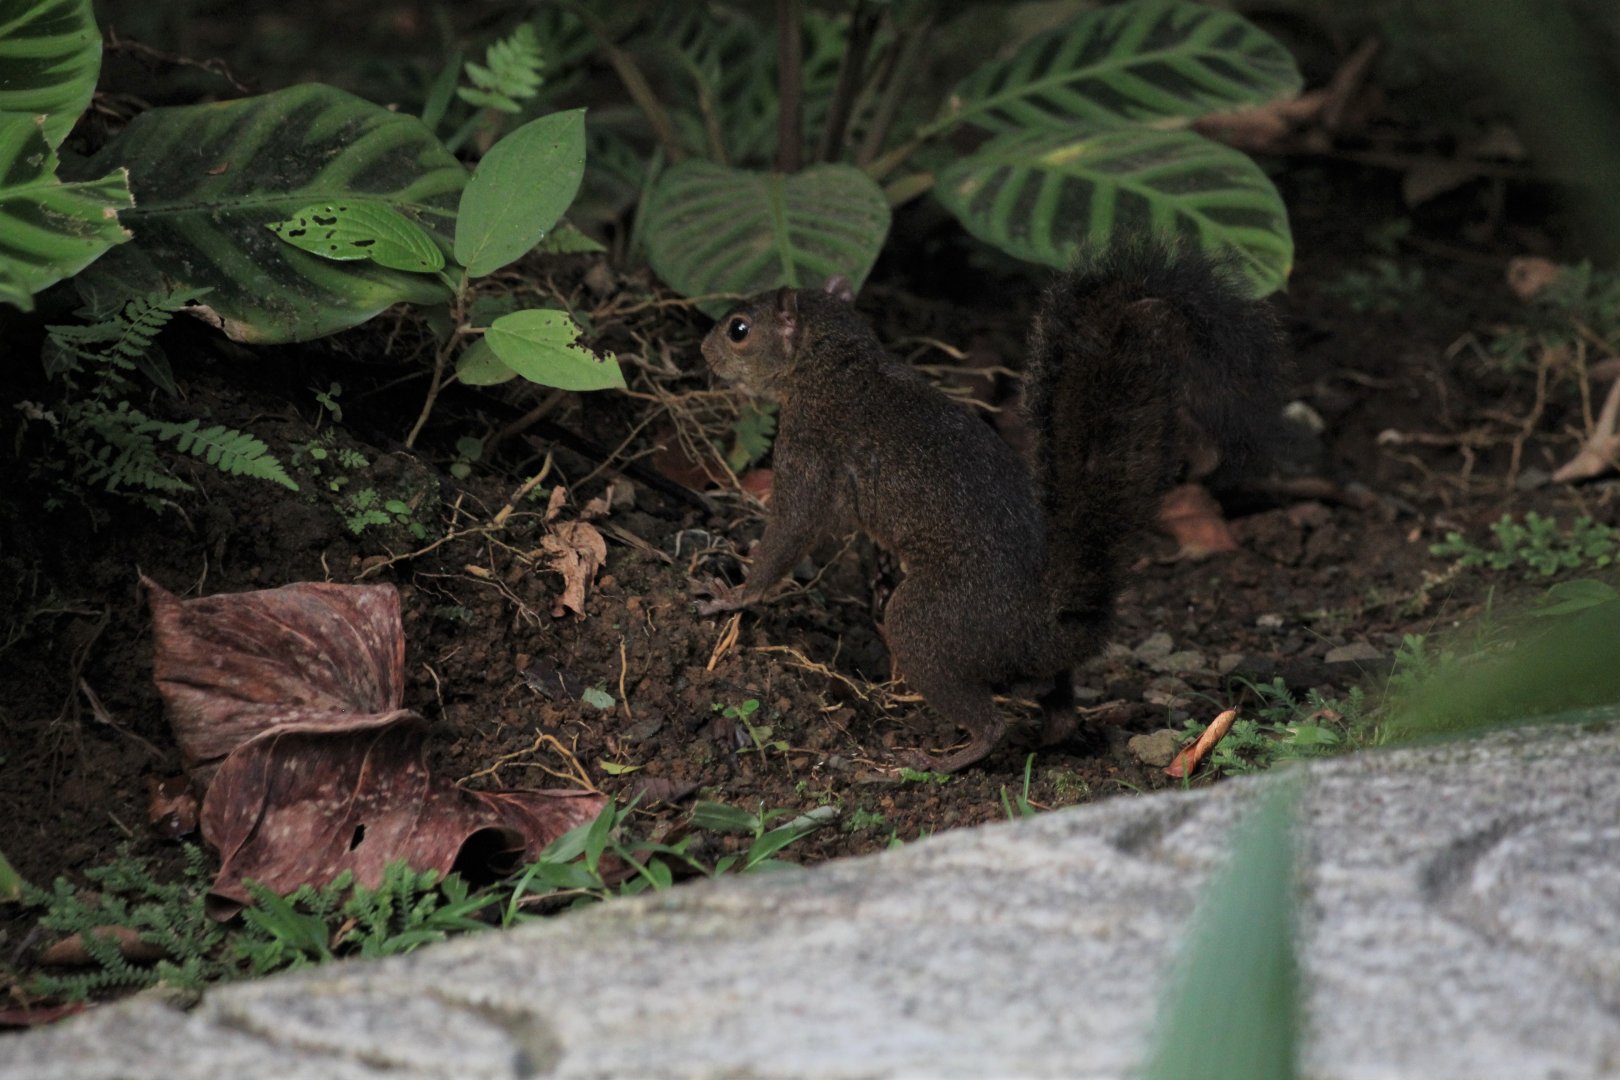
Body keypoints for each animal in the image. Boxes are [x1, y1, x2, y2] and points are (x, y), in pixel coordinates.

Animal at [695, 241, 1283, 772]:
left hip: (928, 622)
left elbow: (790, 530)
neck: (833, 363)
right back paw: (1053, 734)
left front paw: (732, 594)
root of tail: (1051, 621)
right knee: (1058, 699)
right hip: (1032, 662)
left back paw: (943, 758)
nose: (702, 349)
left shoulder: (809, 446)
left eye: (739, 329)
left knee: (990, 719)